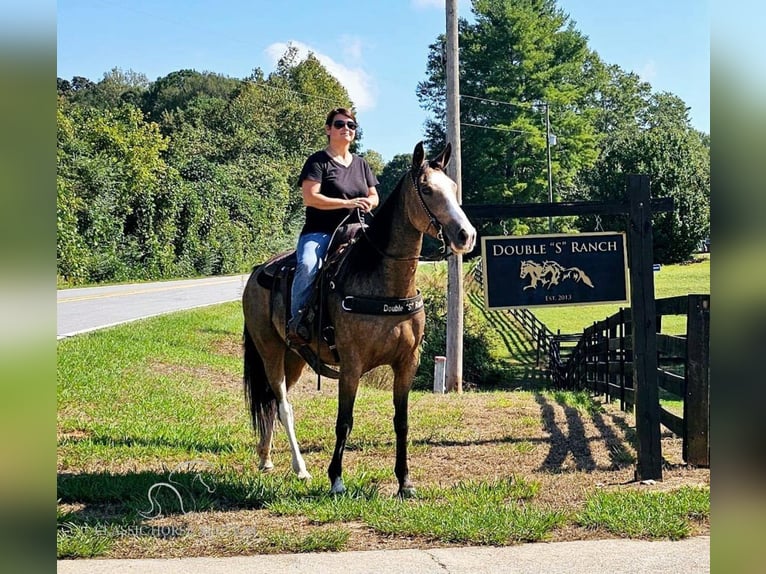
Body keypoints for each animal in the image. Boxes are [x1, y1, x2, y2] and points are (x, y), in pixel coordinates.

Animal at [243, 142, 476, 498]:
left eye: (452, 187)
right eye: (426, 189)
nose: (466, 235)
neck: (384, 283)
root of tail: (258, 271)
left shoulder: (408, 362)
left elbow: (401, 421)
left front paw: (405, 482)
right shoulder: (351, 365)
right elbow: (345, 421)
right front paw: (336, 479)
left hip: (293, 357)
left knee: (271, 403)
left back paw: (266, 458)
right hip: (269, 350)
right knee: (283, 405)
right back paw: (300, 468)